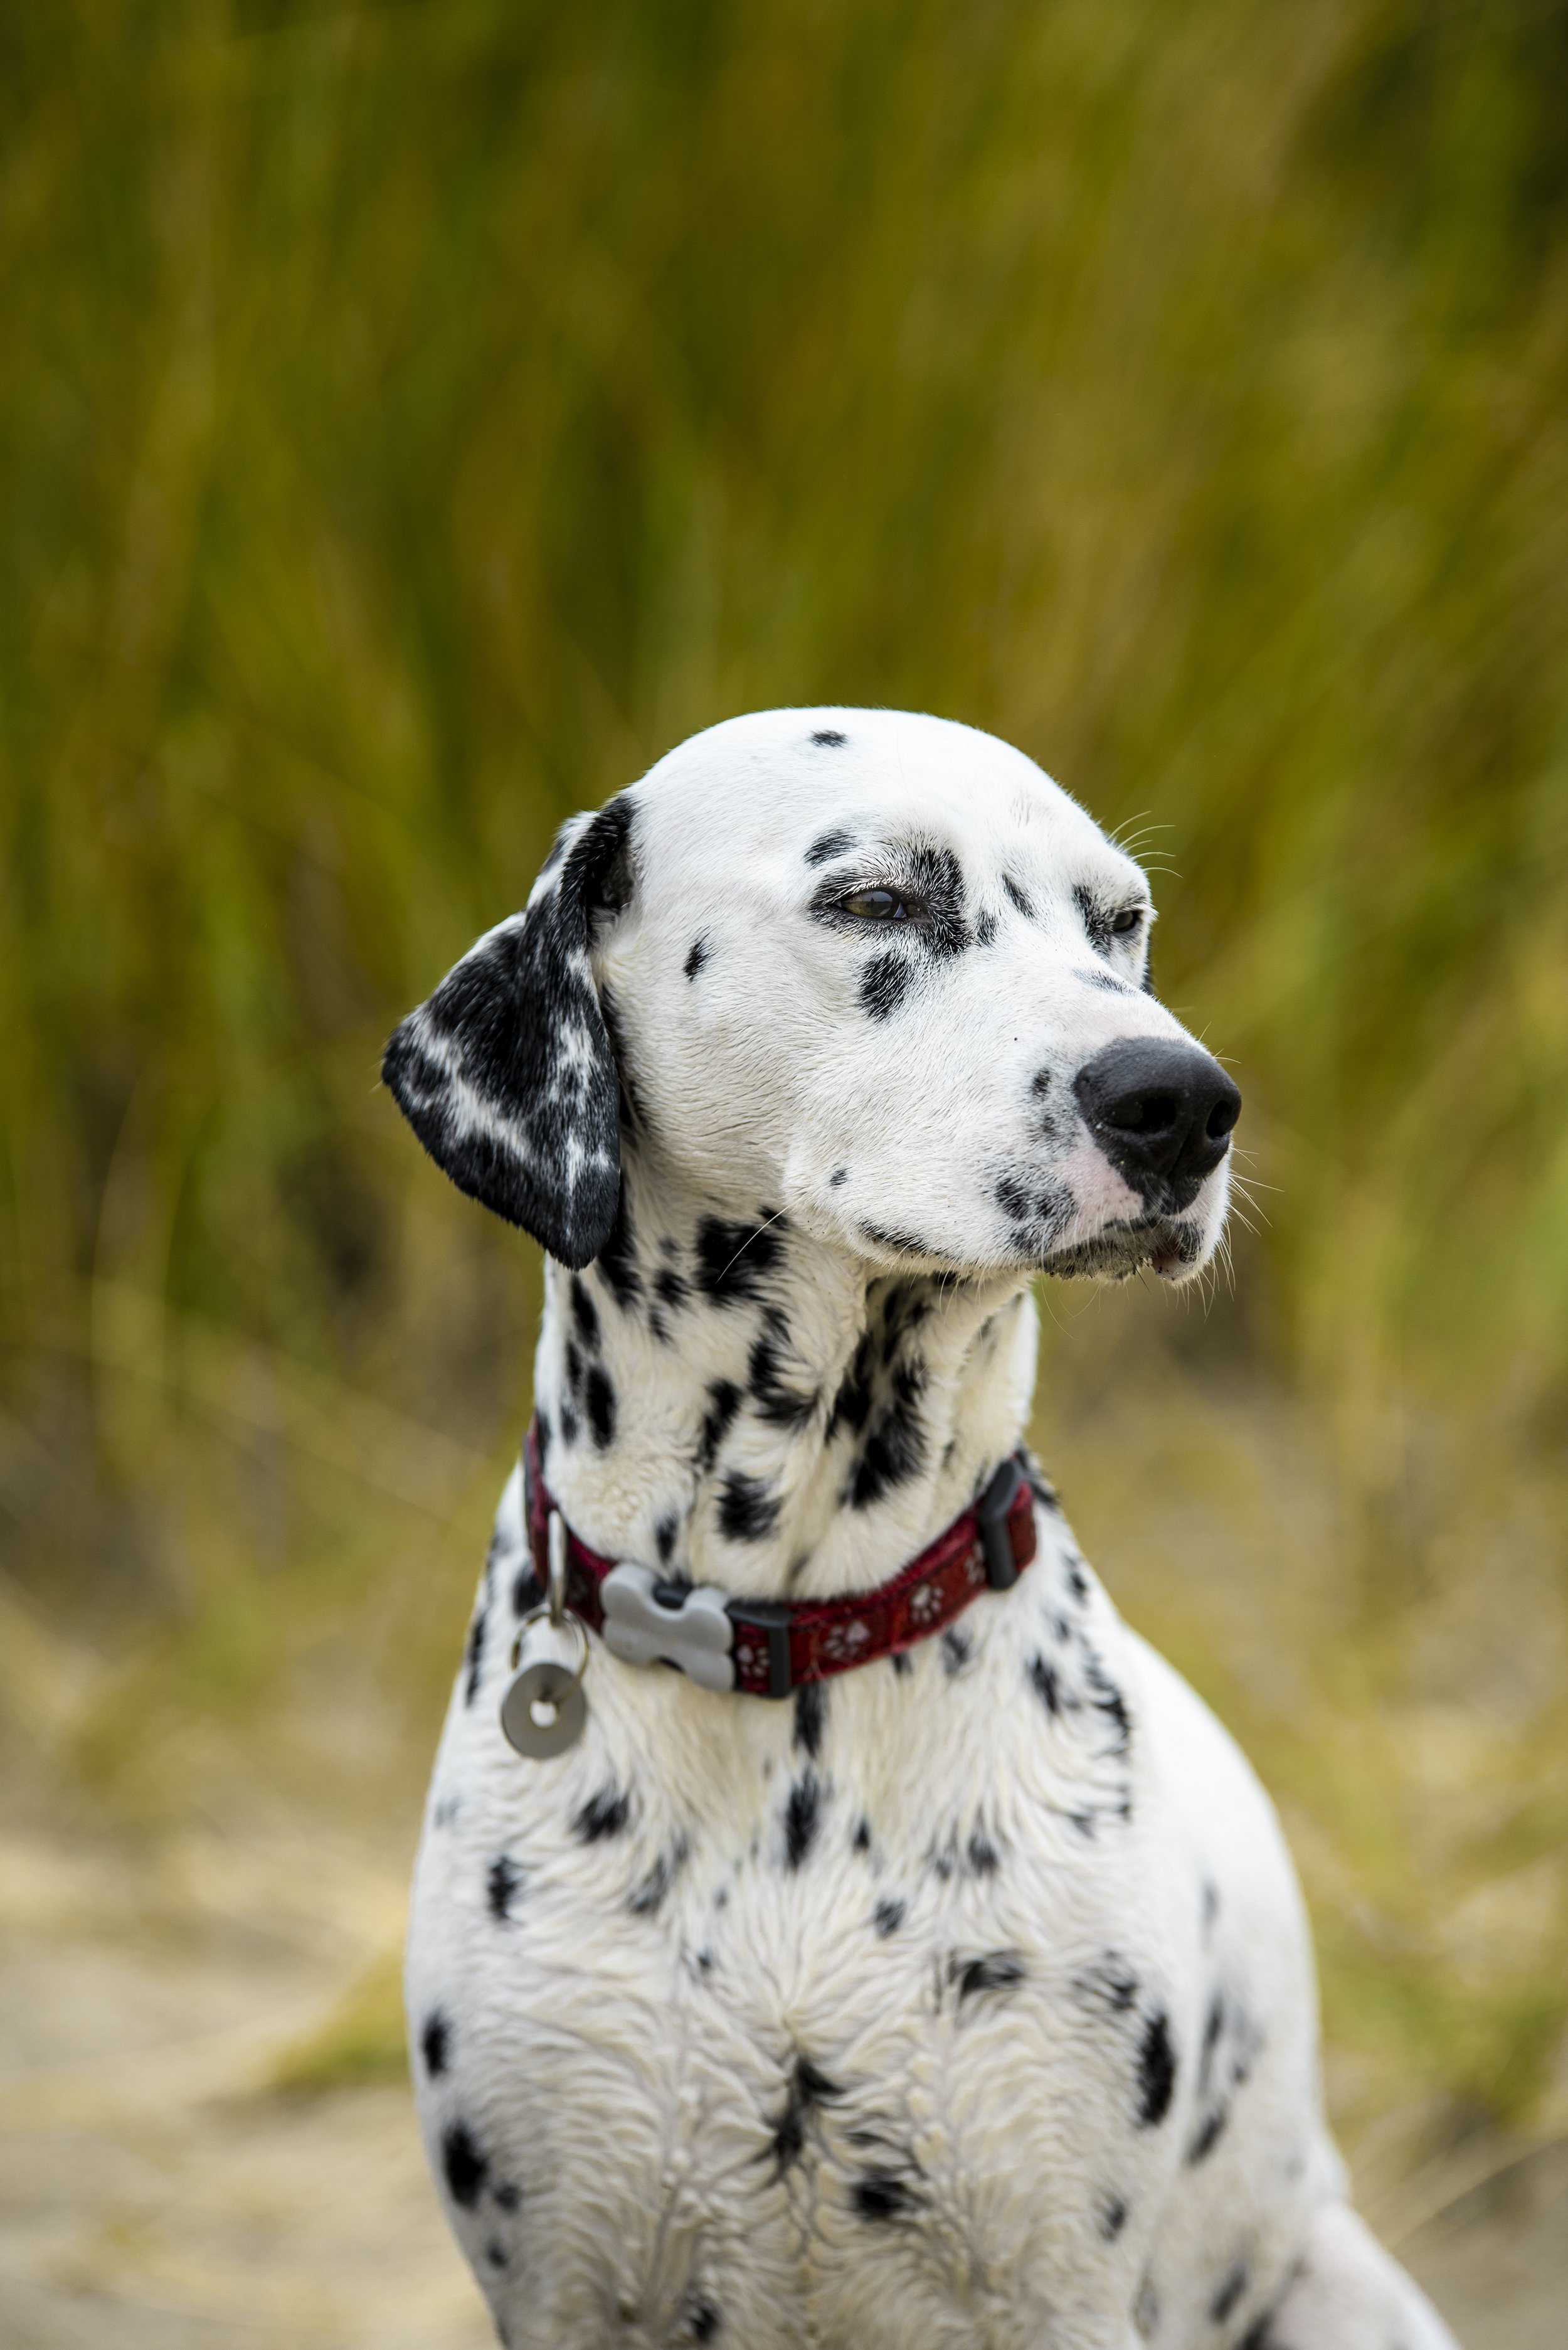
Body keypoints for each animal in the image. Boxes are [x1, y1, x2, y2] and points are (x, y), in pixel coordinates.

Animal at [383, 710, 1457, 2350]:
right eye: (878, 899)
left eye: (1118, 921)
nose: (1182, 1100)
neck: (785, 1641)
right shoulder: (563, 2269)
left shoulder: (1052, 2273)